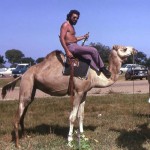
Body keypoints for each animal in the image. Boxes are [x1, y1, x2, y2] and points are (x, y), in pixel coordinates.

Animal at [1, 44, 137, 146]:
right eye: (124, 48)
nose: (135, 50)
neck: (95, 75)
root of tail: (22, 74)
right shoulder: (78, 92)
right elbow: (72, 117)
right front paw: (70, 141)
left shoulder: (84, 92)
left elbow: (81, 116)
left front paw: (83, 137)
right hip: (27, 83)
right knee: (18, 114)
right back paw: (18, 144)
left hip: (32, 88)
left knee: (23, 113)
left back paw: (25, 137)